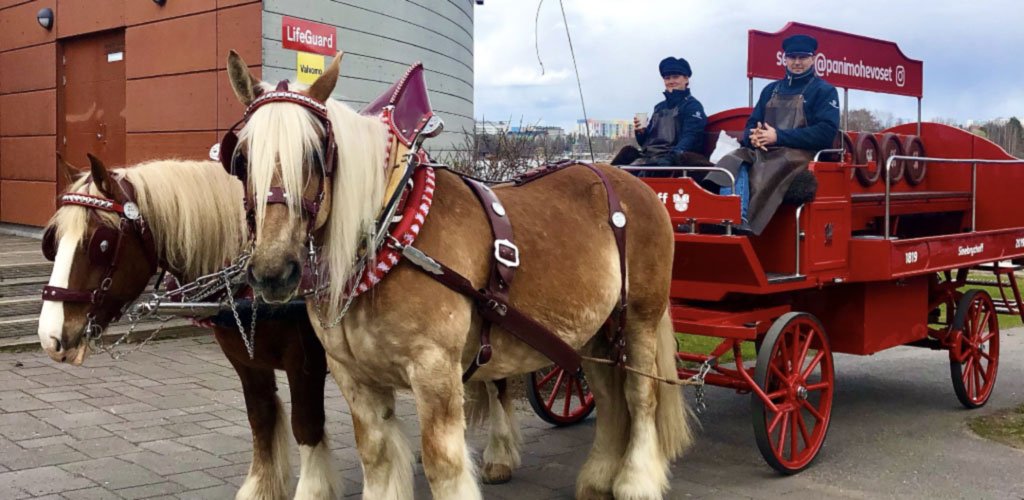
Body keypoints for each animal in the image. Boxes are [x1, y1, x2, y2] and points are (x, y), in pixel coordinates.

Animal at [36, 156, 337, 499]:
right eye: (53, 240)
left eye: (101, 243)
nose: (49, 337)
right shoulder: (246, 360)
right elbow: (261, 418)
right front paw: (261, 489)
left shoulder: (306, 362)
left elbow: (307, 426)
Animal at [225, 50, 693, 500]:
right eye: (241, 158)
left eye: (315, 154)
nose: (273, 271)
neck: (391, 225)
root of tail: (630, 182)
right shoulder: (353, 376)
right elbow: (376, 458)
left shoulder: (434, 370)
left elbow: (442, 464)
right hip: (593, 332)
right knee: (611, 399)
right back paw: (599, 479)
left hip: (639, 319)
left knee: (640, 397)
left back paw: (636, 481)